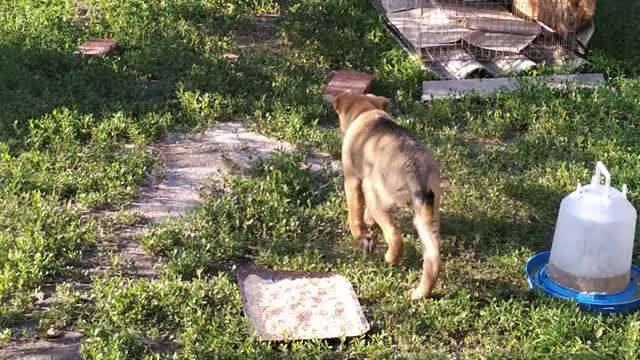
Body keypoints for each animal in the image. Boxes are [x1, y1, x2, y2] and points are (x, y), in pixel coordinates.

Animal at [332, 91, 442, 300]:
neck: (367, 111)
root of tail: (413, 164)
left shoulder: (353, 180)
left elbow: (355, 213)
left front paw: (361, 235)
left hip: (378, 197)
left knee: (395, 236)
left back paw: (390, 258)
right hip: (427, 213)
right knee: (432, 258)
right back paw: (421, 293)